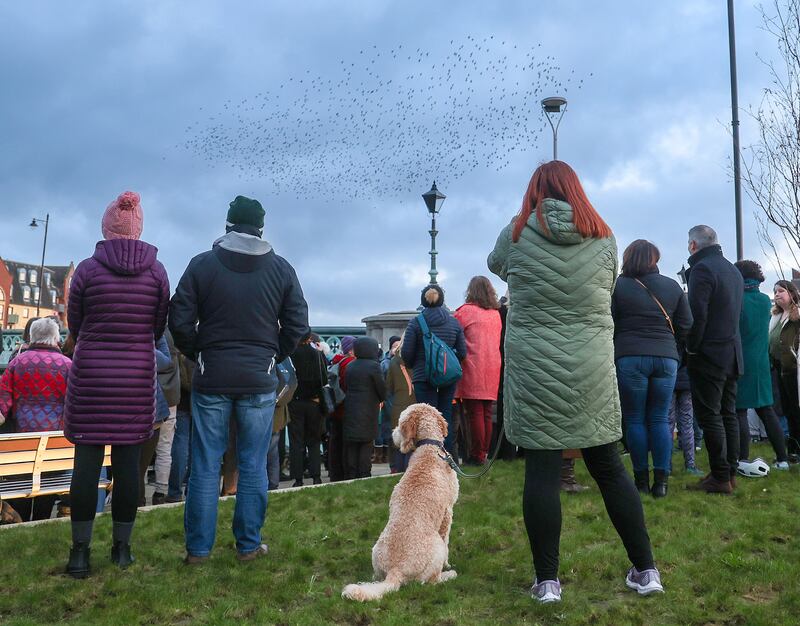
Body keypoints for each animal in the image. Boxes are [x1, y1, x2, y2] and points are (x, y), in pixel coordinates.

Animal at [340, 400, 460, 600]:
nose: (392, 434)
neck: (428, 447)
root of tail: (396, 570)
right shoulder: (447, 513)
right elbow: (447, 540)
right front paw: (448, 565)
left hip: (375, 551)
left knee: (376, 577)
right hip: (436, 549)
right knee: (432, 581)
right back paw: (449, 574)